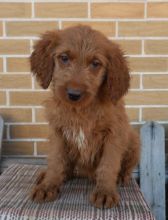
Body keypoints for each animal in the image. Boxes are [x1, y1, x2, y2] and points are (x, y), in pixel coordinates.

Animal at [29, 25, 140, 208]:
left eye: (95, 63)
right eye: (64, 58)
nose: (74, 94)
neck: (80, 110)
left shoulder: (114, 134)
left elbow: (108, 165)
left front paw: (105, 192)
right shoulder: (58, 132)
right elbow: (56, 161)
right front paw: (48, 186)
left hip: (134, 141)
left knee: (126, 168)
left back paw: (121, 177)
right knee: (66, 166)